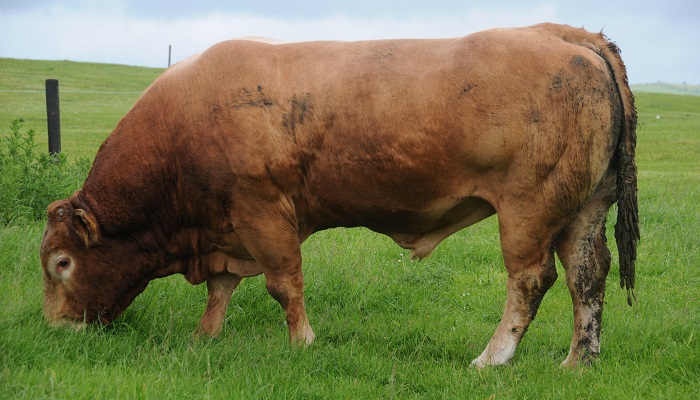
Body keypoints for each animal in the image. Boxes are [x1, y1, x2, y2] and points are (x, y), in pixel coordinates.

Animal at [40, 23, 638, 367]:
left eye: (61, 263)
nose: (56, 329)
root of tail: (567, 35)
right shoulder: (227, 227)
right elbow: (221, 288)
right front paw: (203, 339)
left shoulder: (262, 212)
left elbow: (283, 284)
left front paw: (302, 344)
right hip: (585, 207)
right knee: (588, 275)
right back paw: (578, 362)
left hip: (528, 208)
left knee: (531, 279)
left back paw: (493, 358)